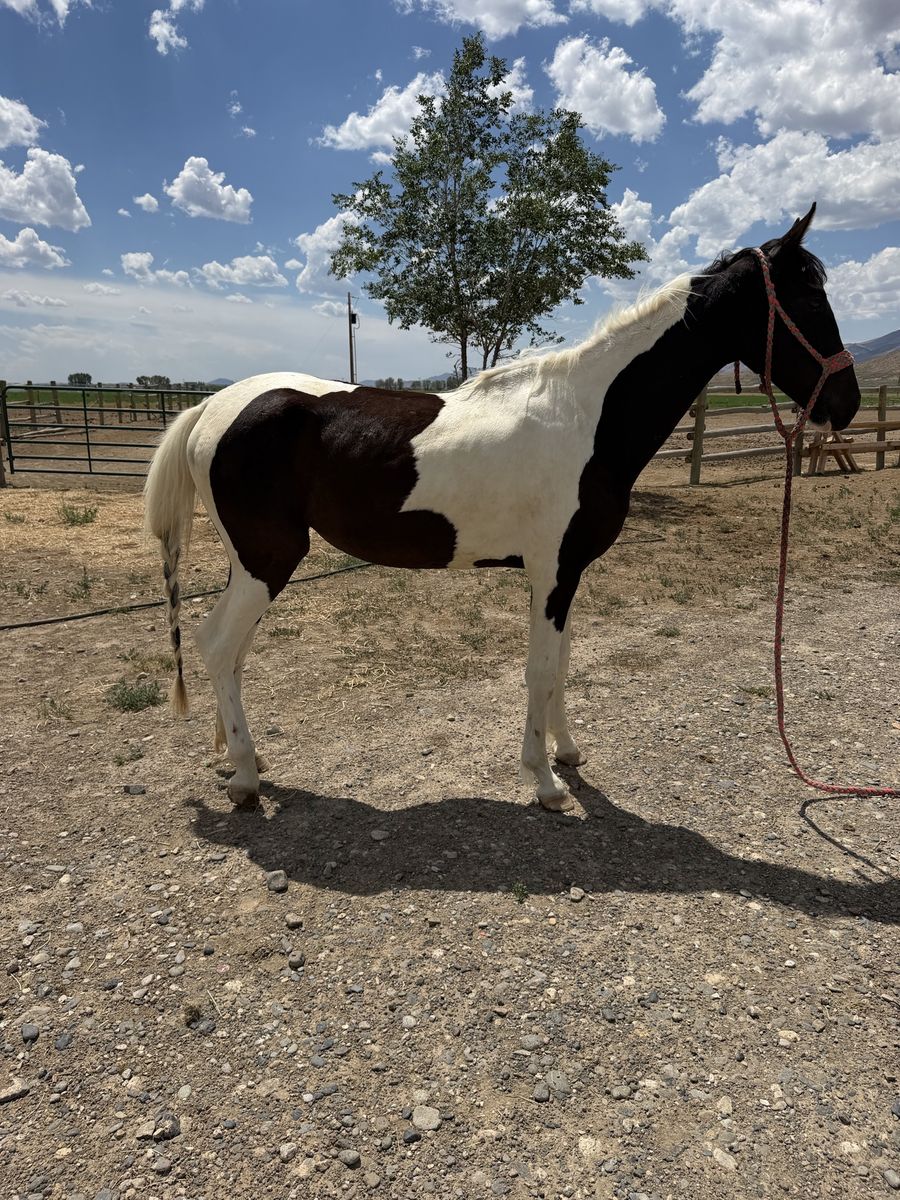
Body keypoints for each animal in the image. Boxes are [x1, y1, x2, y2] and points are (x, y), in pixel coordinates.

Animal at [144, 204, 860, 811]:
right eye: (805, 297)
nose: (846, 402)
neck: (589, 416)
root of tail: (212, 406)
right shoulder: (550, 572)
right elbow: (539, 671)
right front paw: (544, 782)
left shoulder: (566, 575)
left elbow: (562, 663)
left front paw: (567, 755)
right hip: (269, 558)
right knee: (216, 646)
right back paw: (244, 776)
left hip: (250, 561)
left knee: (229, 652)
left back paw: (244, 762)